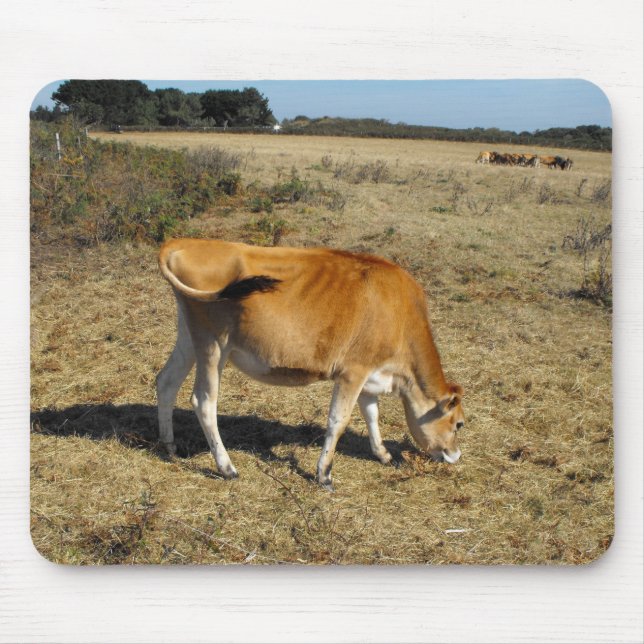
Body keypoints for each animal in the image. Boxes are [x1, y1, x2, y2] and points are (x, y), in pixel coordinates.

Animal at [156, 239, 465, 490]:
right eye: (459, 424)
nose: (455, 455)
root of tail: (186, 242)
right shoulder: (353, 372)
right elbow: (338, 420)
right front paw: (324, 474)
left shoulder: (369, 375)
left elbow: (371, 414)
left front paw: (383, 454)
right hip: (214, 343)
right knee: (204, 401)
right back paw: (227, 467)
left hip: (190, 337)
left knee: (166, 381)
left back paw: (169, 447)